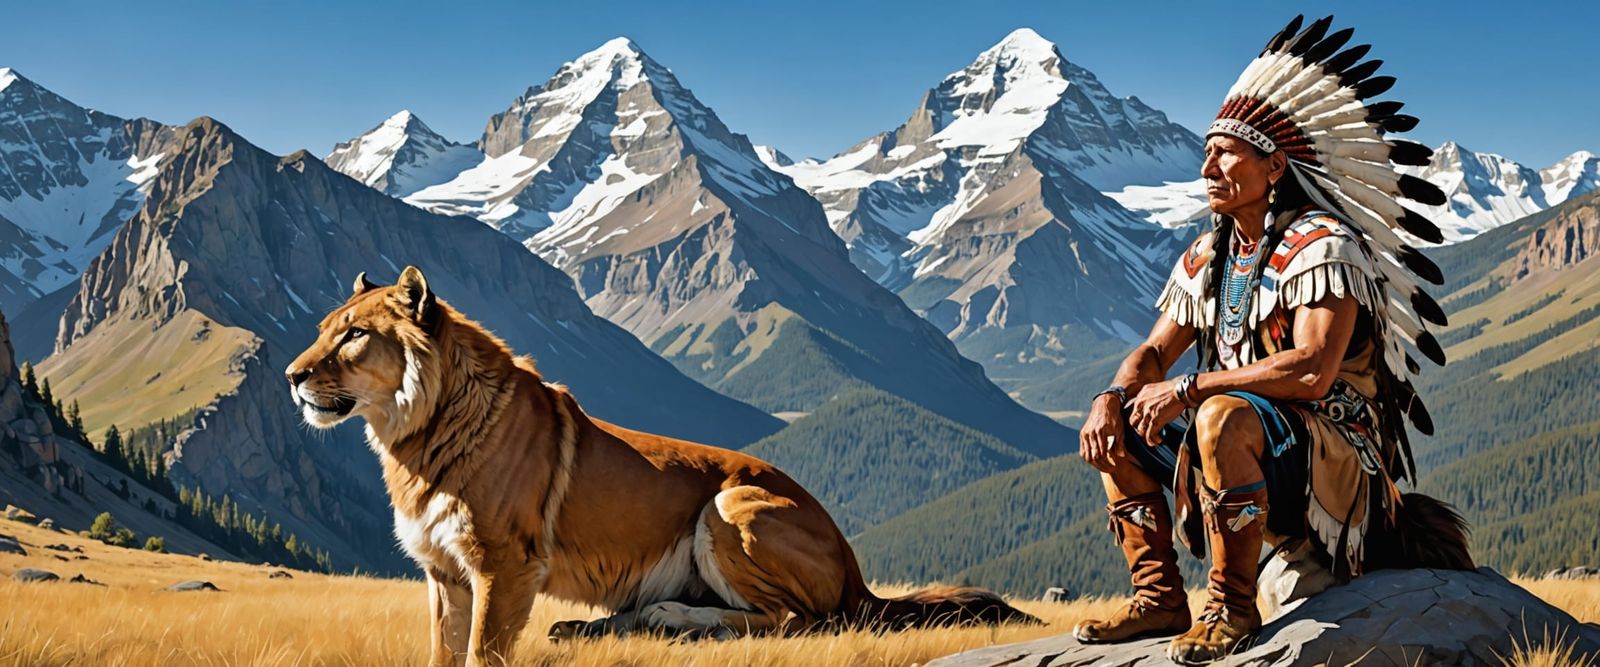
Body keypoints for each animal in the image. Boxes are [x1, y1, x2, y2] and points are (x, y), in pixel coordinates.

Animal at [286, 266, 1038, 667]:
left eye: (354, 335)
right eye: (324, 328)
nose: (291, 376)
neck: (414, 435)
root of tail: (856, 570)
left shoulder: (504, 564)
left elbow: (479, 653)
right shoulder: (445, 573)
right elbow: (443, 651)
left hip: (728, 506)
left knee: (797, 620)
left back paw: (670, 616)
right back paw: (606, 624)